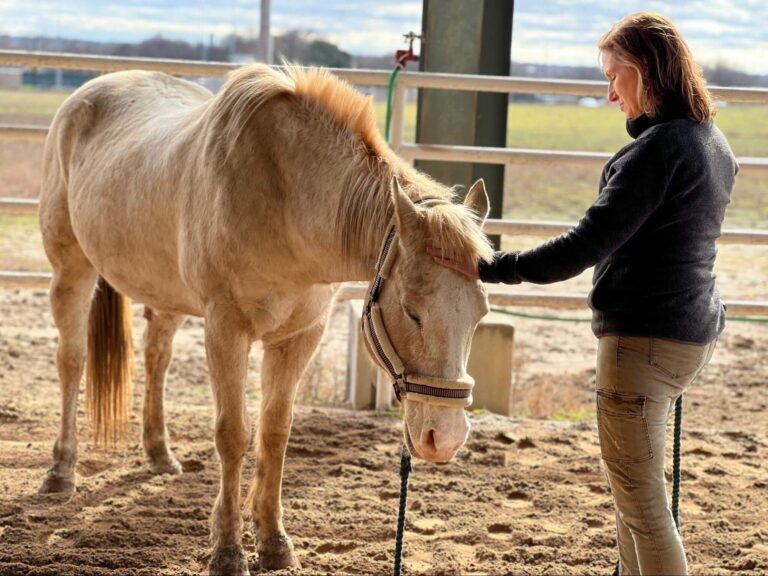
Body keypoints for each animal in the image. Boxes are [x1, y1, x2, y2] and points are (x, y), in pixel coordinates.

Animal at [37, 65, 492, 572]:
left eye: (480, 314)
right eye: (412, 310)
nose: (444, 438)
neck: (287, 197)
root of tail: (93, 89)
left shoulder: (300, 336)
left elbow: (275, 433)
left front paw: (274, 541)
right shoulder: (225, 329)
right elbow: (233, 434)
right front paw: (227, 549)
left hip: (167, 296)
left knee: (158, 358)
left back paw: (159, 453)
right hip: (71, 269)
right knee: (71, 361)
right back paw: (61, 471)